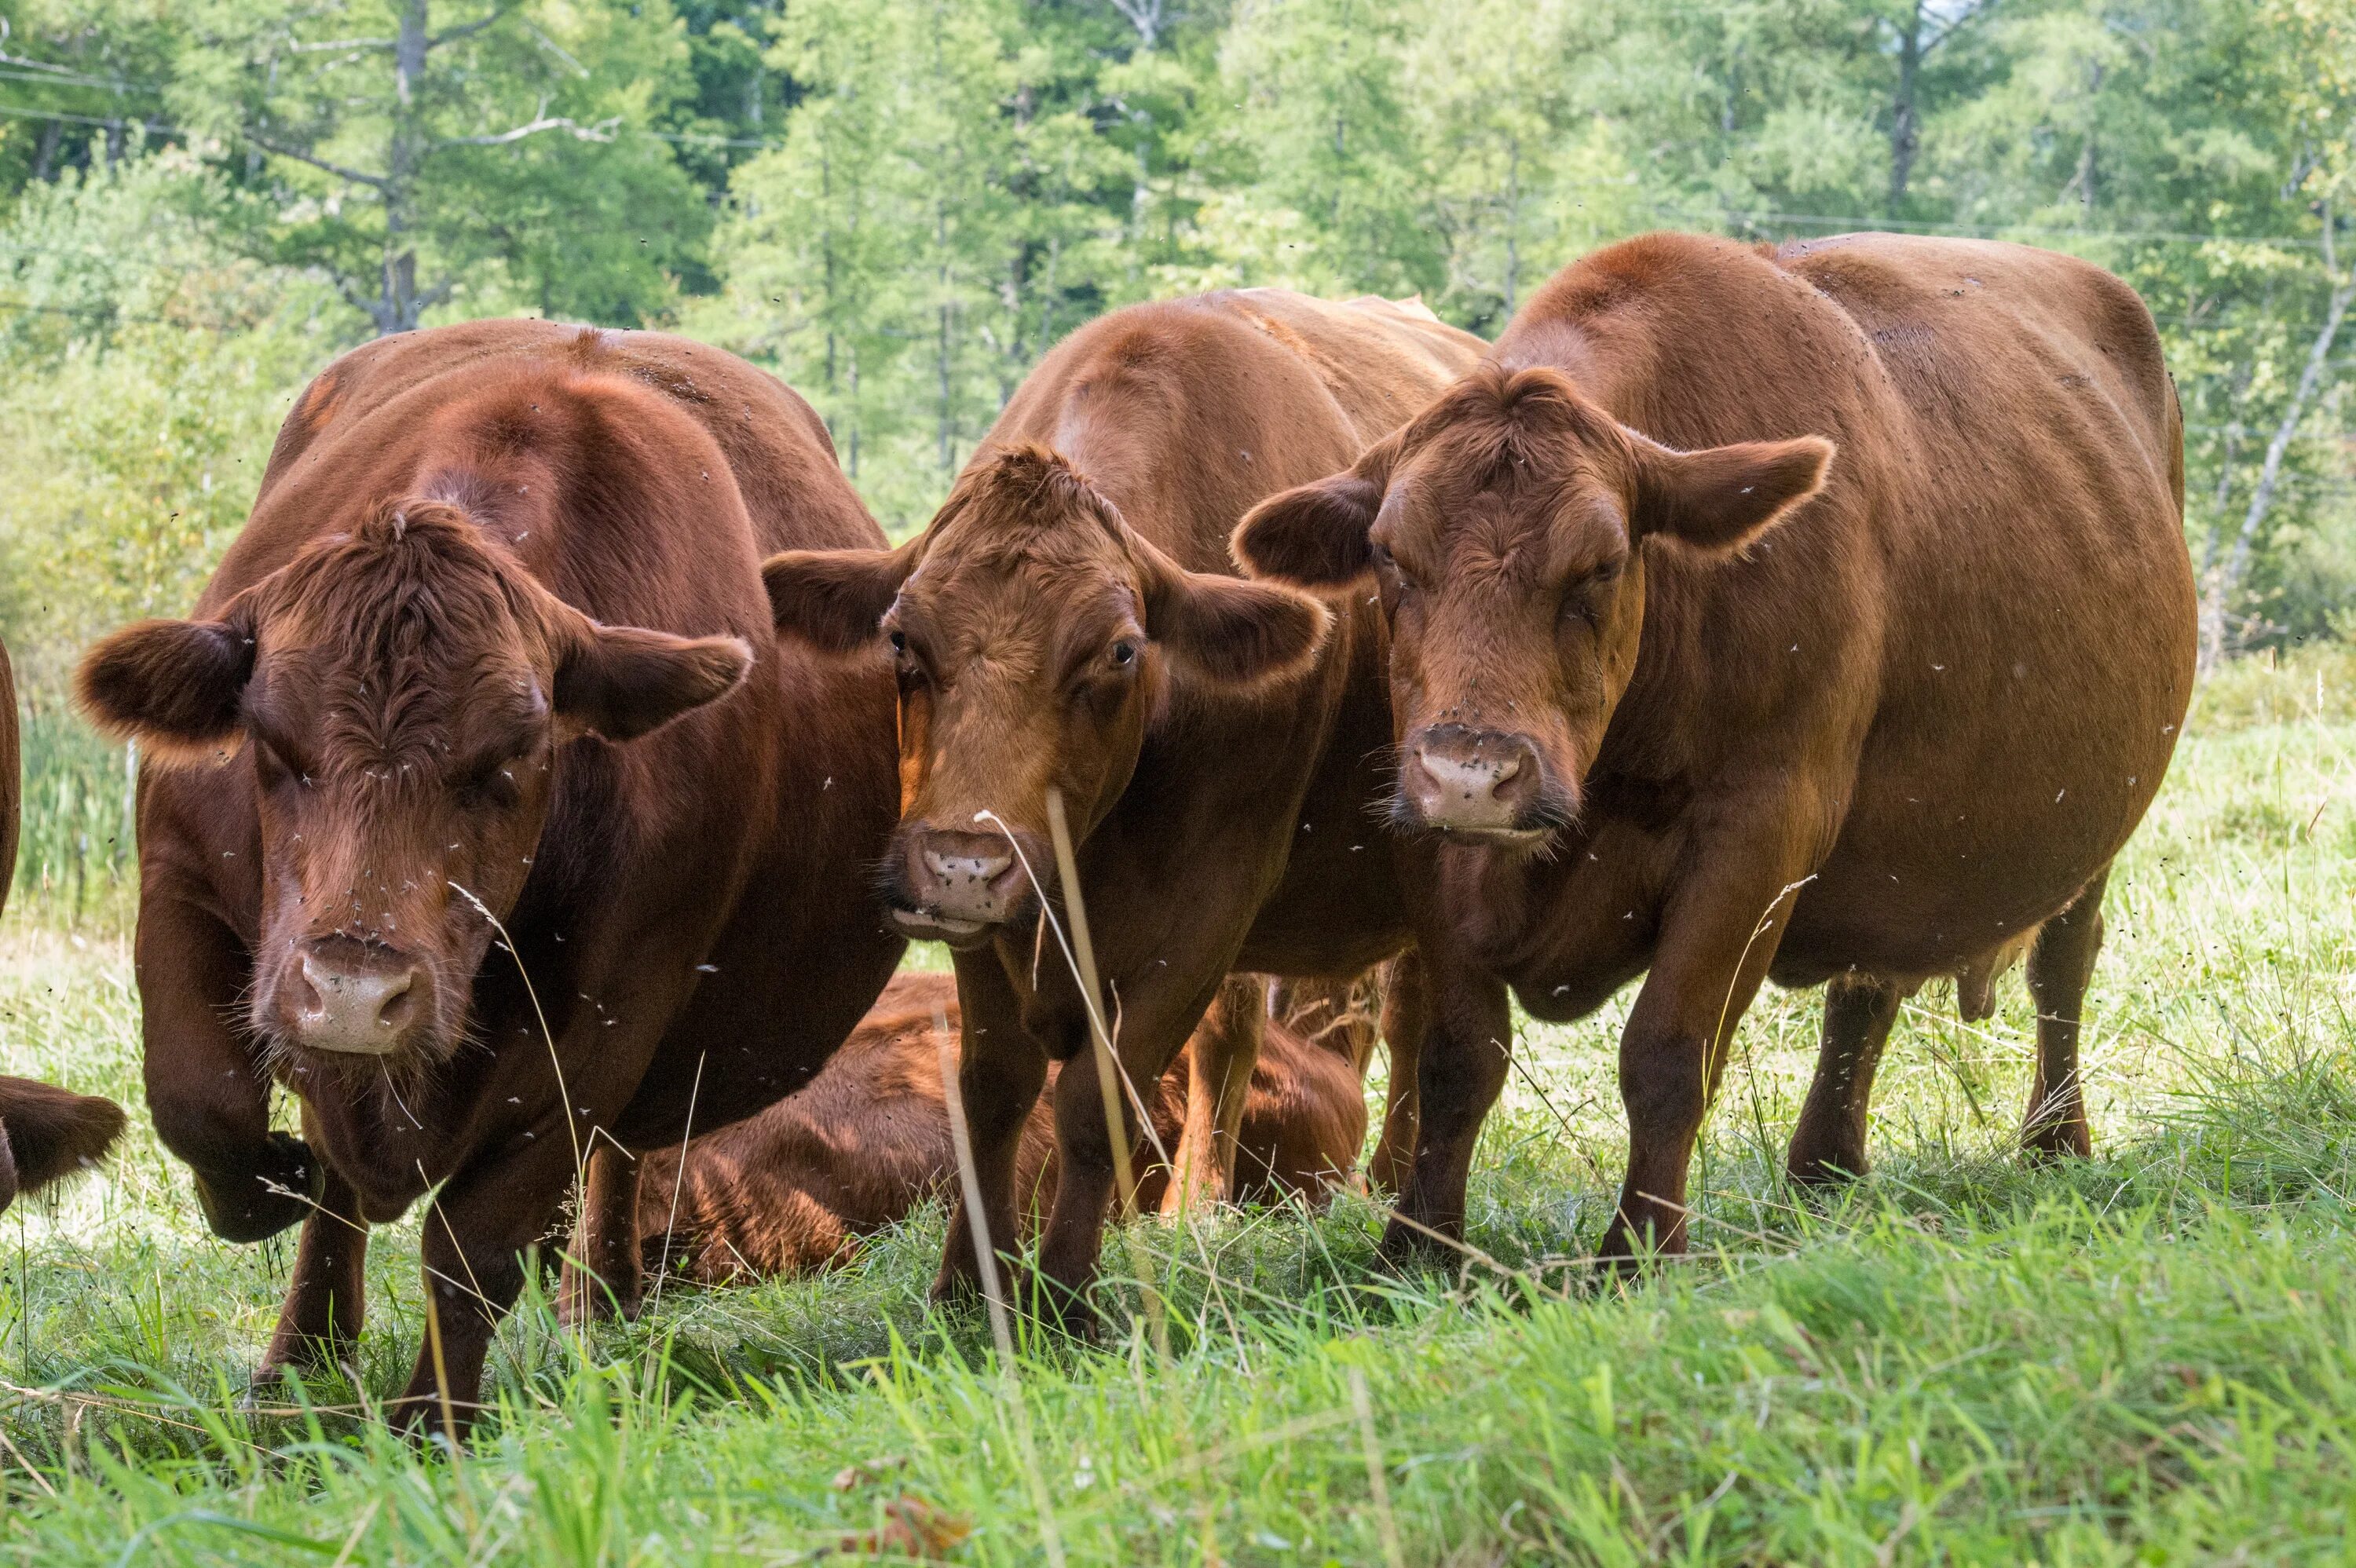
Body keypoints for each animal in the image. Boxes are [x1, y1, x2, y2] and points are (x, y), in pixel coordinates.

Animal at [73, 320, 900, 1431]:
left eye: (510, 759)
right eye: (273, 744)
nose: (353, 991)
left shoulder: (606, 1023)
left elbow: (473, 1249)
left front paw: (433, 1420)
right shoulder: (181, 886)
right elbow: (202, 1105)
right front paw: (264, 1192)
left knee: (614, 1163)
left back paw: (598, 1301)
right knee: (336, 1189)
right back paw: (303, 1353)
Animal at [763, 293, 1480, 1318]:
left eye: (1119, 650)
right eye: (900, 638)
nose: (965, 863)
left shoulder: (1204, 914)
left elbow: (1094, 1102)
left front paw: (1064, 1290)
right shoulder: (986, 933)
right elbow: (991, 1093)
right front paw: (967, 1283)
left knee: (1410, 1015)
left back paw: (1379, 1184)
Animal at [1244, 229, 2196, 1262]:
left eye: (1602, 564)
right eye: (1389, 555)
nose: (1473, 773)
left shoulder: (1759, 834)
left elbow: (1666, 1052)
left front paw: (1639, 1250)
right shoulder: (1430, 844)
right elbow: (1458, 1057)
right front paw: (1419, 1246)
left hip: (2096, 824)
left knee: (2062, 963)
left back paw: (2056, 1138)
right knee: (1864, 991)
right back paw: (1824, 1166)